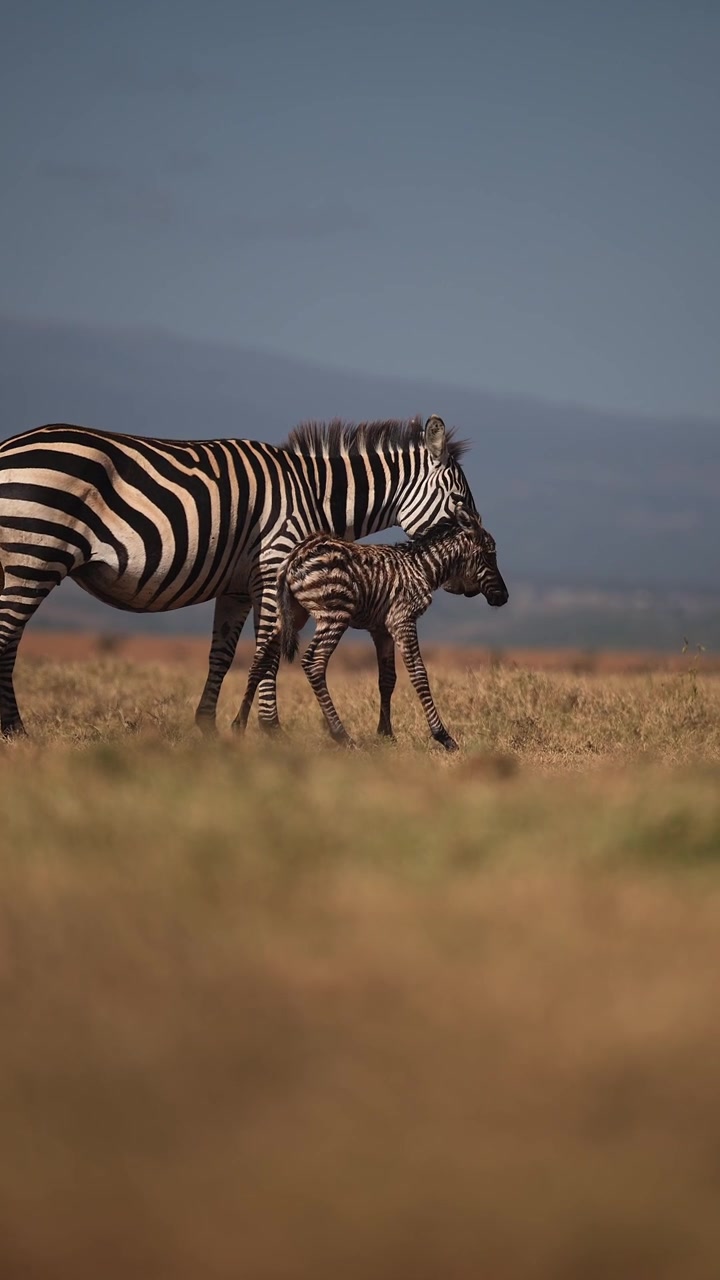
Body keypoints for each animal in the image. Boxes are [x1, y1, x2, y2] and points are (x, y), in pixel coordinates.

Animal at [0, 415, 480, 738]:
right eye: (460, 500)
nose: (480, 540)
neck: (312, 492)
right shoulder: (274, 565)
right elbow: (268, 649)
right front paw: (269, 728)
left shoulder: (236, 588)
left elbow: (224, 655)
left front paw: (208, 727)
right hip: (33, 553)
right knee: (8, 638)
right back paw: (15, 730)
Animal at [235, 503, 508, 751]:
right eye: (490, 554)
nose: (504, 598)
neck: (422, 568)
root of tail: (296, 555)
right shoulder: (402, 619)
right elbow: (419, 674)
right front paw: (444, 736)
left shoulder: (381, 630)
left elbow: (387, 679)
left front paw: (386, 735)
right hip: (334, 614)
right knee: (313, 663)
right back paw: (342, 736)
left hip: (292, 613)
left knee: (260, 658)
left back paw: (238, 725)